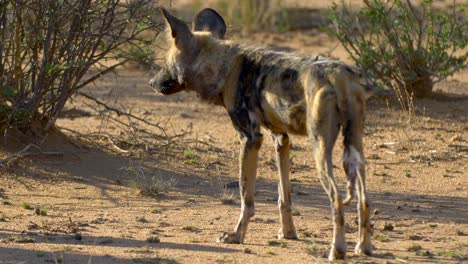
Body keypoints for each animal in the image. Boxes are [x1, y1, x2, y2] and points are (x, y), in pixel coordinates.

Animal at [150, 7, 372, 260]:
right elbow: (284, 197)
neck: (226, 67)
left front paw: (236, 236)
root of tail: (340, 76)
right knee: (364, 200)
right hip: (355, 148)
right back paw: (363, 247)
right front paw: (288, 233)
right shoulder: (280, 138)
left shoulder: (250, 138)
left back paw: (337, 250)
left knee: (336, 198)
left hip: (320, 149)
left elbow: (246, 198)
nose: (151, 82)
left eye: (164, 63)